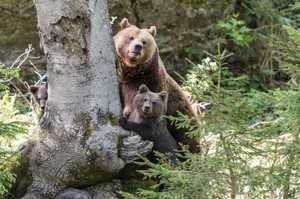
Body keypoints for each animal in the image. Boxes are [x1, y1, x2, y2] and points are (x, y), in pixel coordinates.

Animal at [113, 18, 200, 152]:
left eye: (144, 42)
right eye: (131, 37)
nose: (137, 47)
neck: (131, 72)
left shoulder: (153, 81)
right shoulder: (122, 82)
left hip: (182, 120)